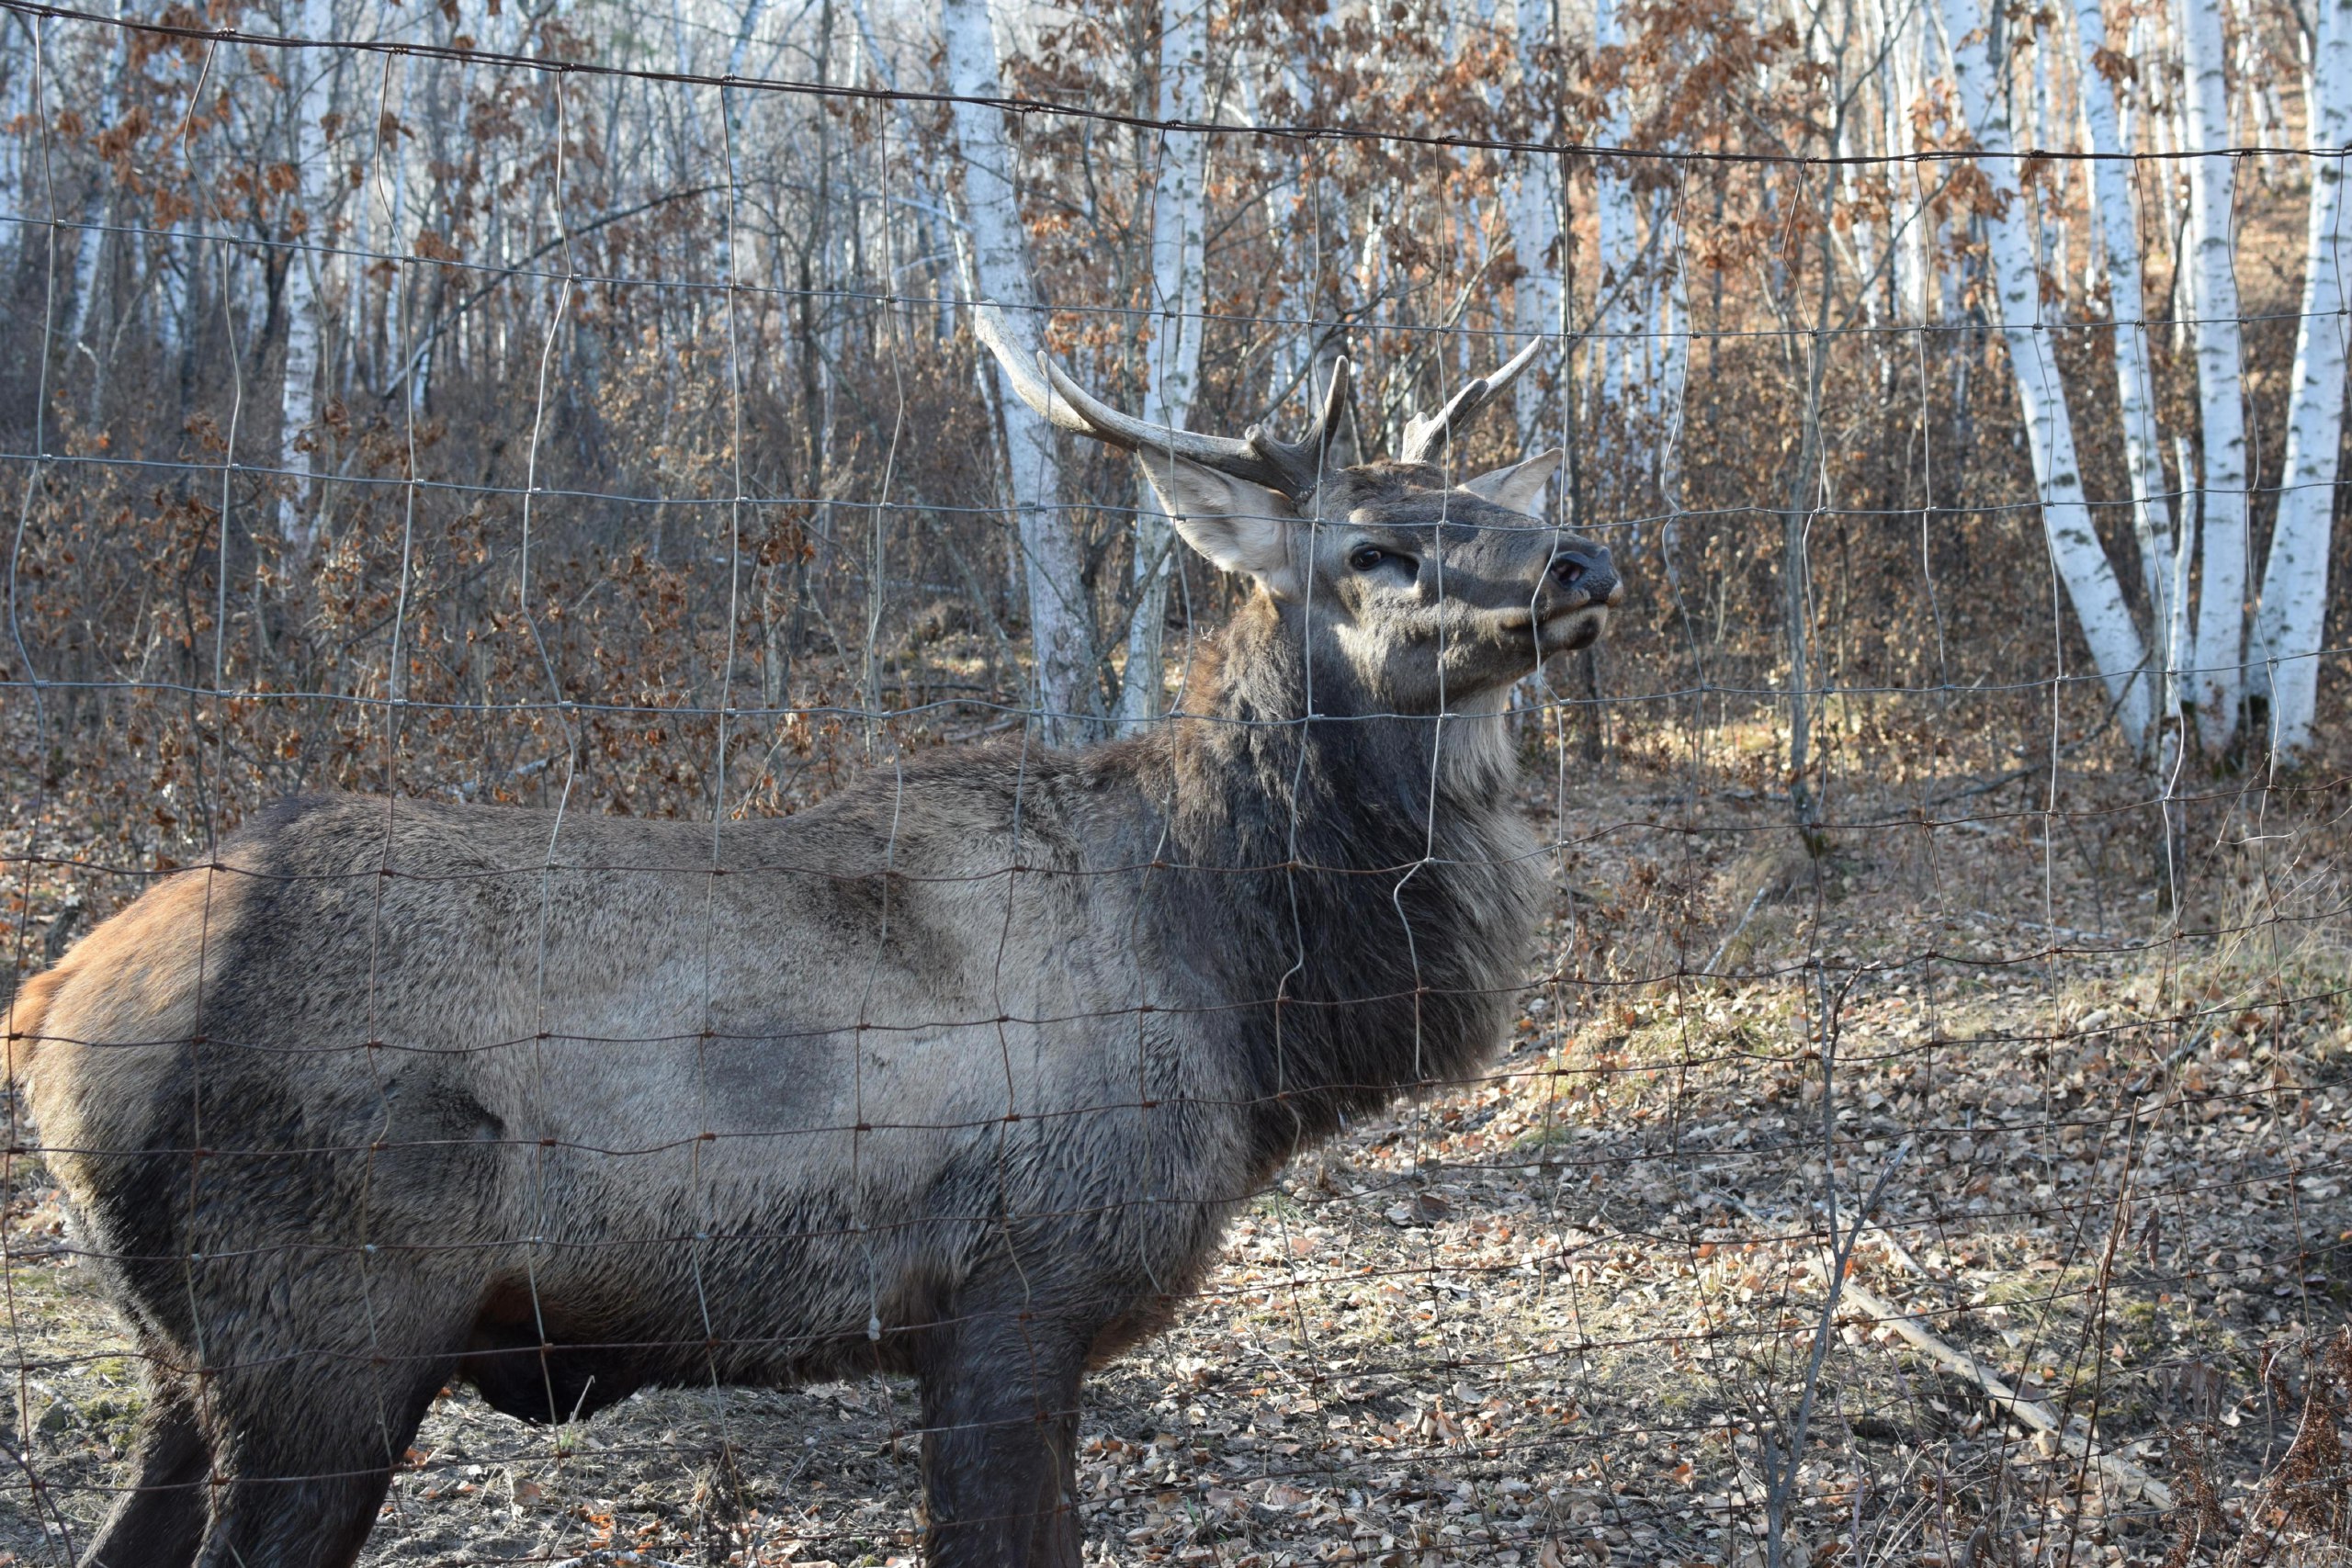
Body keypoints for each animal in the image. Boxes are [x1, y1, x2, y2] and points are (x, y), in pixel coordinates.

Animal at [5, 310, 1618, 1568]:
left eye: (1492, 505)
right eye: (1378, 548)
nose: (1581, 561)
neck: (1242, 994)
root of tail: (47, 1003)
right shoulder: (1015, 1287)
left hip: (187, 1358)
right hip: (322, 1332)